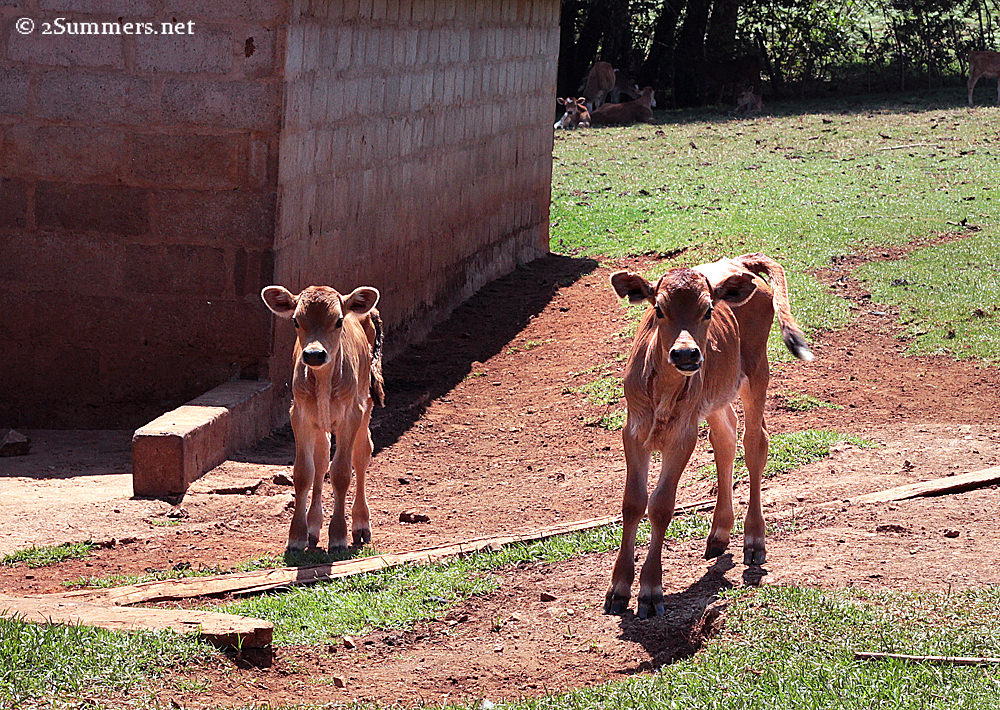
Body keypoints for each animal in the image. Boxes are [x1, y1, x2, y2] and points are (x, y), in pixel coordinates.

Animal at [261, 284, 385, 552]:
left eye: (338, 321)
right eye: (296, 320)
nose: (314, 354)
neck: (324, 380)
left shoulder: (351, 415)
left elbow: (341, 473)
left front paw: (338, 536)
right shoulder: (300, 416)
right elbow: (304, 473)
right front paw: (297, 536)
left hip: (366, 404)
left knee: (362, 453)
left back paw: (361, 525)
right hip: (322, 423)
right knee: (321, 459)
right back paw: (313, 527)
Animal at [603, 254, 814, 619]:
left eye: (707, 310)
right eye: (658, 309)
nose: (686, 354)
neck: (662, 393)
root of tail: (739, 261)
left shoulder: (683, 435)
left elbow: (661, 505)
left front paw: (650, 590)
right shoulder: (634, 430)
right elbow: (632, 502)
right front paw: (617, 589)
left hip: (756, 371)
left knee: (755, 442)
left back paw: (754, 540)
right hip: (717, 396)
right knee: (726, 438)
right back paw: (719, 533)